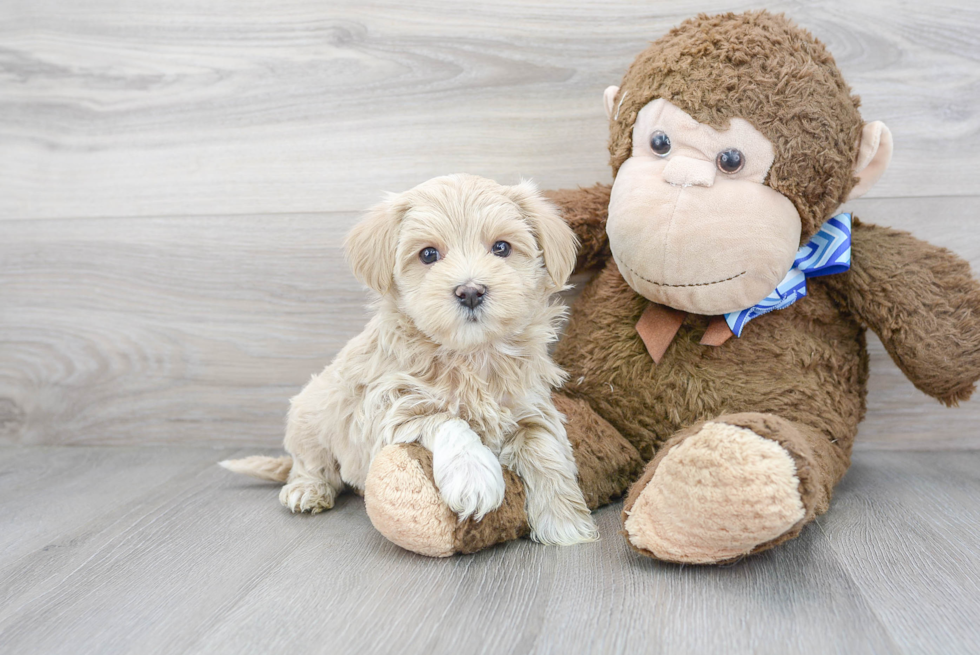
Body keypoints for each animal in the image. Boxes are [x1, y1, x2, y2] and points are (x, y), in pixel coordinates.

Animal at [224, 174, 596, 548]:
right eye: (428, 254)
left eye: (502, 248)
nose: (470, 291)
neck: (471, 354)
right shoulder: (388, 407)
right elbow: (446, 420)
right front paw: (475, 478)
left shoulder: (531, 408)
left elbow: (545, 449)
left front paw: (564, 521)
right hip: (310, 414)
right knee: (311, 463)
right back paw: (307, 489)